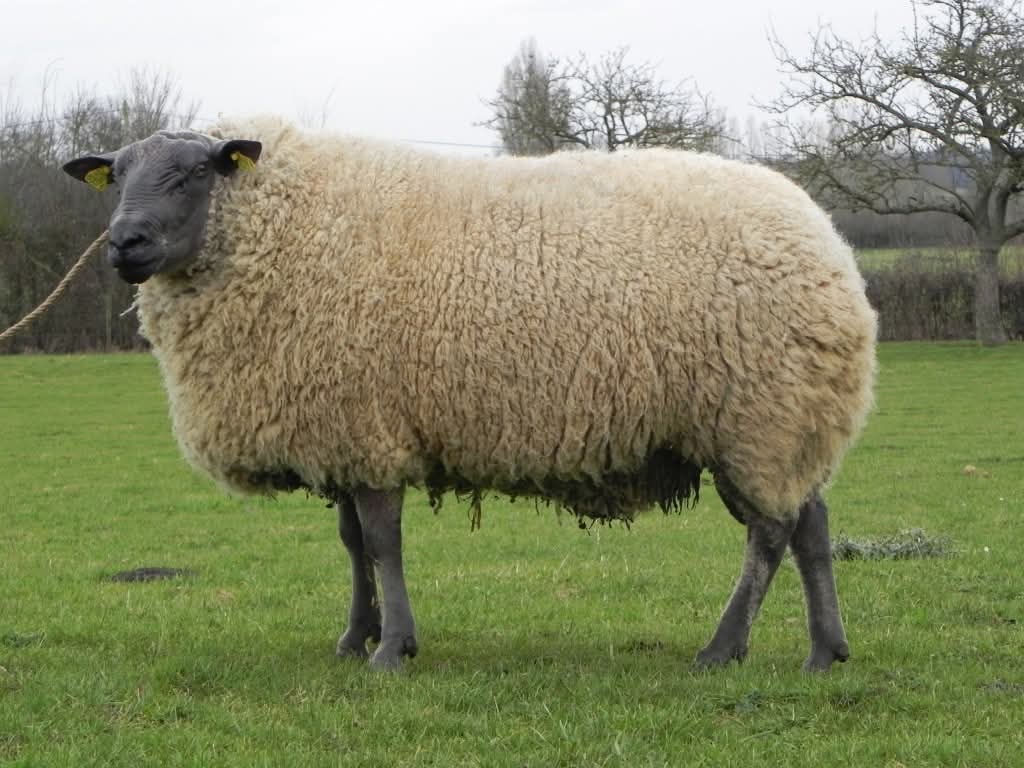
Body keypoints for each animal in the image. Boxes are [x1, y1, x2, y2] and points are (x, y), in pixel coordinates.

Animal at [62, 116, 877, 672]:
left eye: (194, 174)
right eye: (119, 175)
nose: (124, 244)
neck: (275, 225)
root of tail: (829, 244)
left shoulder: (369, 426)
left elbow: (382, 544)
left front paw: (392, 649)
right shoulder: (346, 434)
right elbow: (352, 545)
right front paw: (354, 637)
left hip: (758, 416)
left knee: (768, 534)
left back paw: (723, 647)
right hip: (789, 422)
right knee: (810, 526)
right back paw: (825, 652)